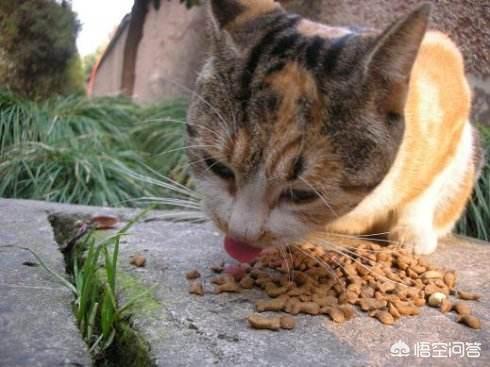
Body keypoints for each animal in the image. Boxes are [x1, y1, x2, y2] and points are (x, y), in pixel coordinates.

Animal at [184, 0, 482, 262]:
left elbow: (428, 185)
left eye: (302, 194)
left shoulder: (448, 72)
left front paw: (412, 233)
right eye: (217, 167)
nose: (240, 236)